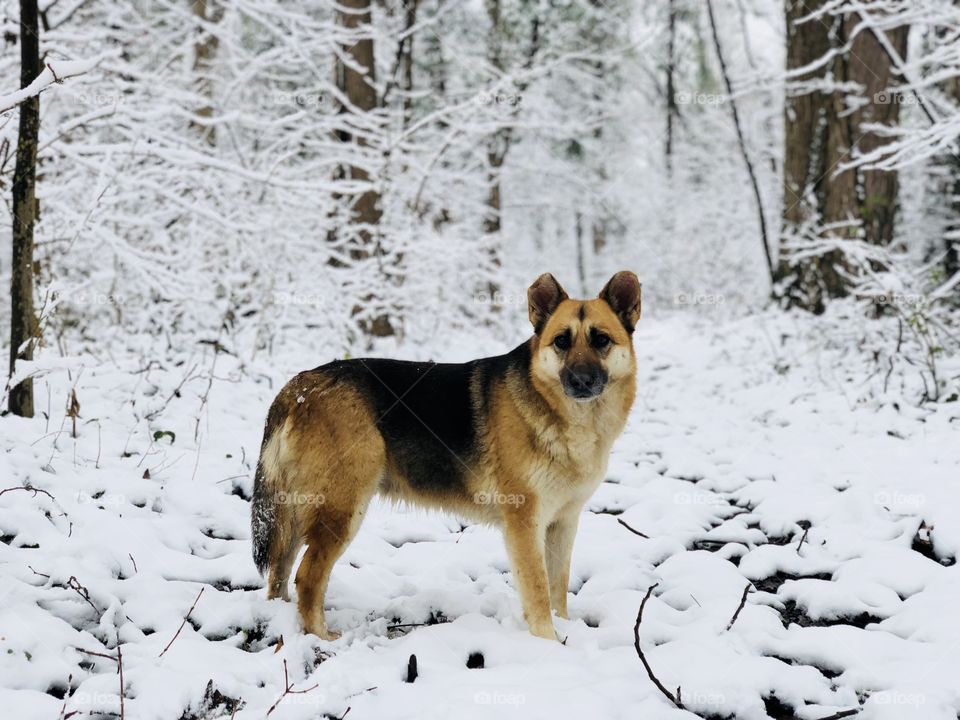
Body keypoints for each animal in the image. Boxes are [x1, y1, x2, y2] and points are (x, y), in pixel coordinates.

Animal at [251, 272, 640, 640]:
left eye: (601, 340)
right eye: (561, 341)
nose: (581, 381)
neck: (564, 416)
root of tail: (299, 386)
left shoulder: (563, 523)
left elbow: (558, 589)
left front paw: (564, 631)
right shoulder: (525, 524)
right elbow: (538, 592)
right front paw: (547, 642)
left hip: (297, 514)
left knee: (279, 573)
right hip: (342, 510)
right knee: (307, 577)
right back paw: (321, 637)